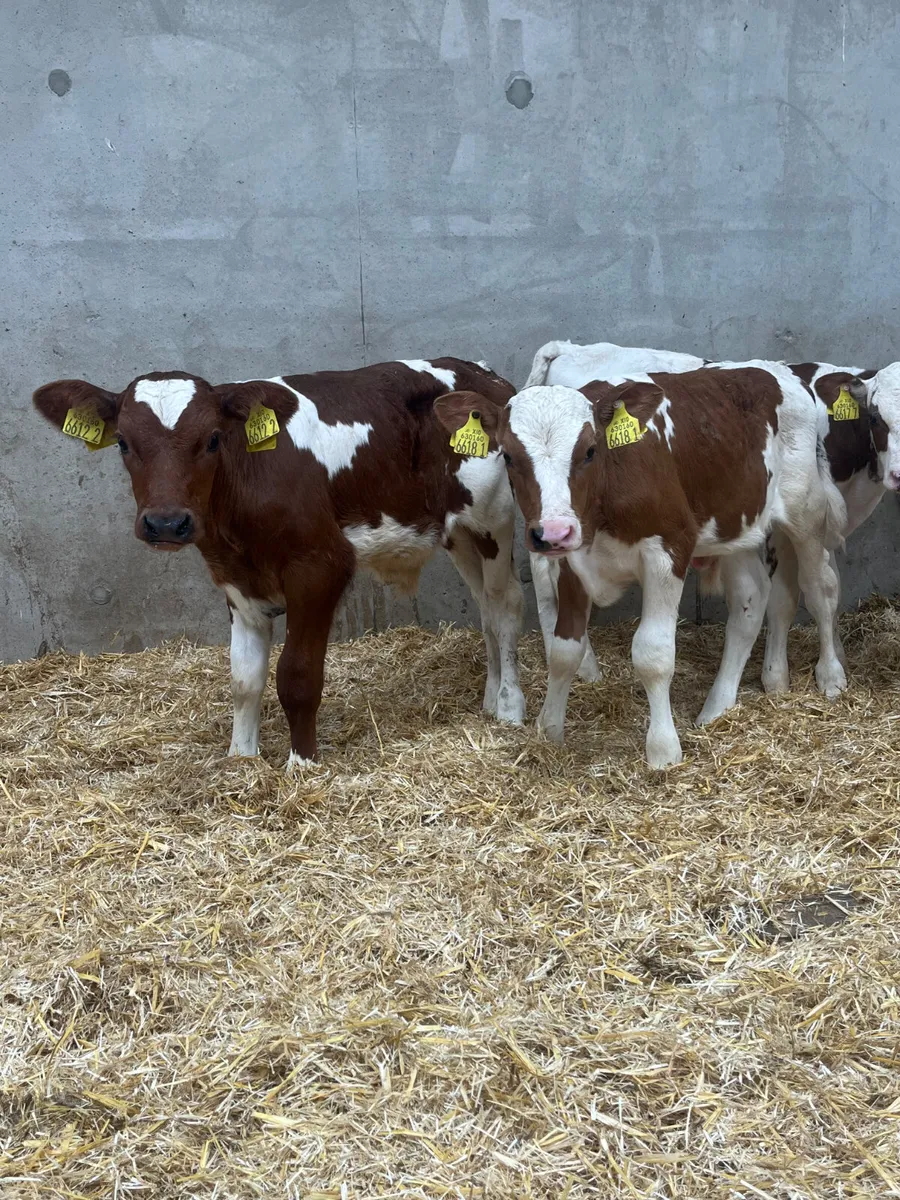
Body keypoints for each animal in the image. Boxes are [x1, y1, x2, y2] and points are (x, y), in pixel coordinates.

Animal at [33, 359, 527, 766]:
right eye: (122, 442)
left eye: (212, 439)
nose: (167, 523)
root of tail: (481, 373)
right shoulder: (236, 580)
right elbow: (244, 679)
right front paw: (241, 759)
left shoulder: (320, 568)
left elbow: (297, 675)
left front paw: (301, 765)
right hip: (458, 533)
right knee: (484, 606)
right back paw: (490, 699)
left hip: (495, 523)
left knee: (504, 606)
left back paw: (509, 707)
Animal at [434, 362, 847, 768]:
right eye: (507, 455)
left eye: (590, 450)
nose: (552, 532)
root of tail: (781, 372)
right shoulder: (571, 560)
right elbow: (564, 651)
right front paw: (549, 732)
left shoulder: (668, 551)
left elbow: (653, 654)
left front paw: (663, 751)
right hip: (734, 525)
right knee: (752, 599)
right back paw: (718, 708)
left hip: (806, 512)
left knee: (820, 588)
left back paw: (830, 675)